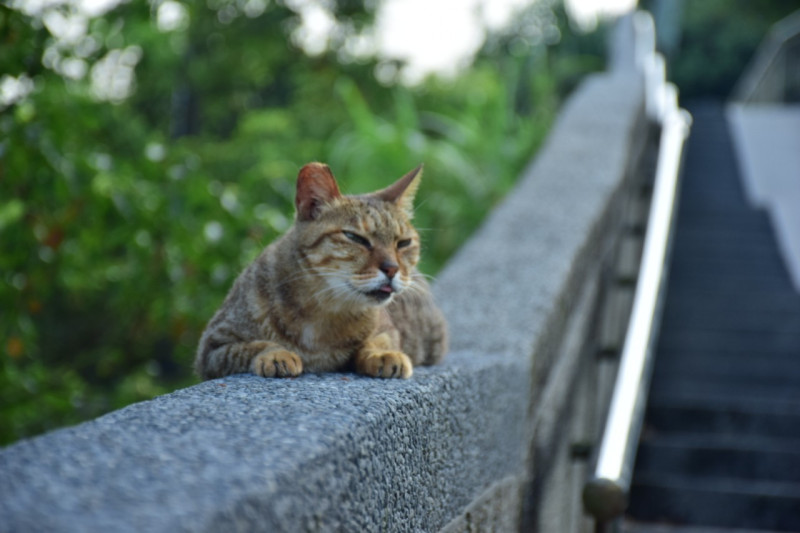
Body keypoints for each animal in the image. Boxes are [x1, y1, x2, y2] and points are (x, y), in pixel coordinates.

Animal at [191, 161, 446, 378]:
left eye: (403, 243)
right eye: (355, 238)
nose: (392, 268)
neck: (324, 311)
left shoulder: (387, 329)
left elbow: (377, 341)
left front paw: (382, 354)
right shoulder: (213, 346)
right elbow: (252, 346)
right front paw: (276, 353)